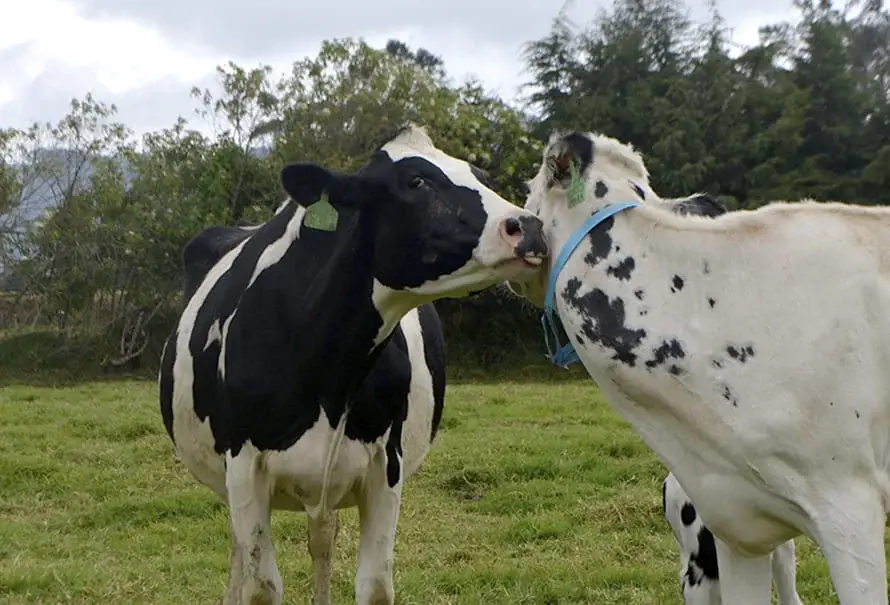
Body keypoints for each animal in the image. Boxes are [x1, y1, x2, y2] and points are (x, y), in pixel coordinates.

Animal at [158, 124, 549, 605]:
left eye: (480, 176)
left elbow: (375, 585)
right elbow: (260, 587)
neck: (329, 374)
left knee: (322, 537)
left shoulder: (386, 465)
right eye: (415, 181)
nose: (530, 226)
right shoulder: (244, 466)